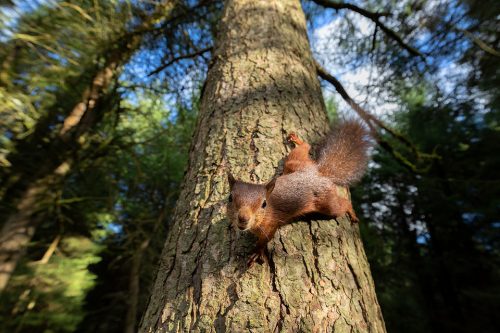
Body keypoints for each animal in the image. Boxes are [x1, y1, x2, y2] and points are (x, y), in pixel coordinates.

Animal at [228, 120, 372, 266]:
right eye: (230, 198)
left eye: (264, 204)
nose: (243, 218)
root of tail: (320, 174)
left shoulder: (271, 225)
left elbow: (264, 240)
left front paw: (257, 252)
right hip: (295, 163)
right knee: (304, 148)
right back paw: (298, 140)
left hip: (328, 203)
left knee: (343, 204)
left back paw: (352, 213)